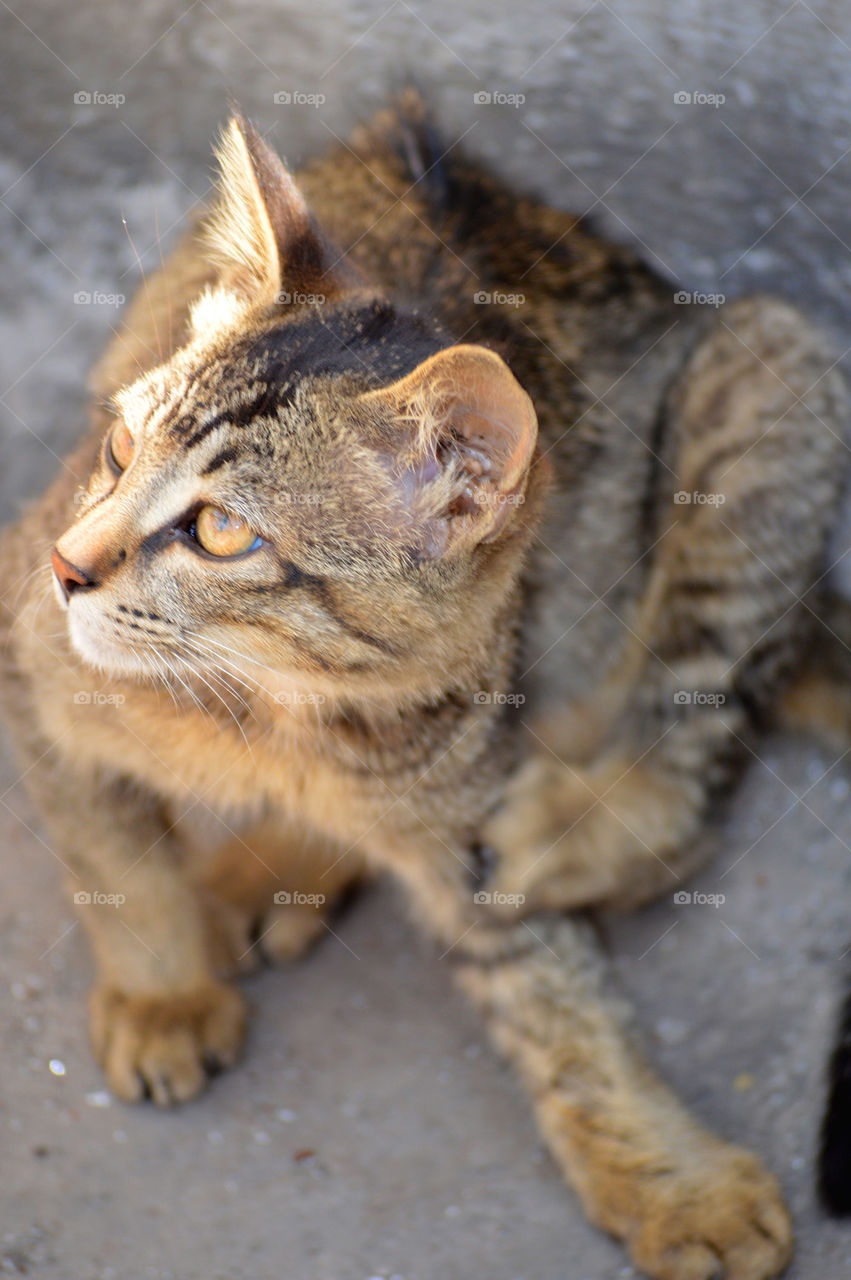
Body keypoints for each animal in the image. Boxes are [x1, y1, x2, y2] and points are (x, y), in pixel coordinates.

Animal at [3, 92, 844, 1280]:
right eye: (117, 448)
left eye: (219, 531)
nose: (68, 565)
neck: (274, 705)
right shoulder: (27, 658)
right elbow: (113, 858)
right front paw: (164, 989)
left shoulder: (465, 809)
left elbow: (557, 1003)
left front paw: (670, 1174)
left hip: (769, 368)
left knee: (690, 752)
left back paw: (567, 833)